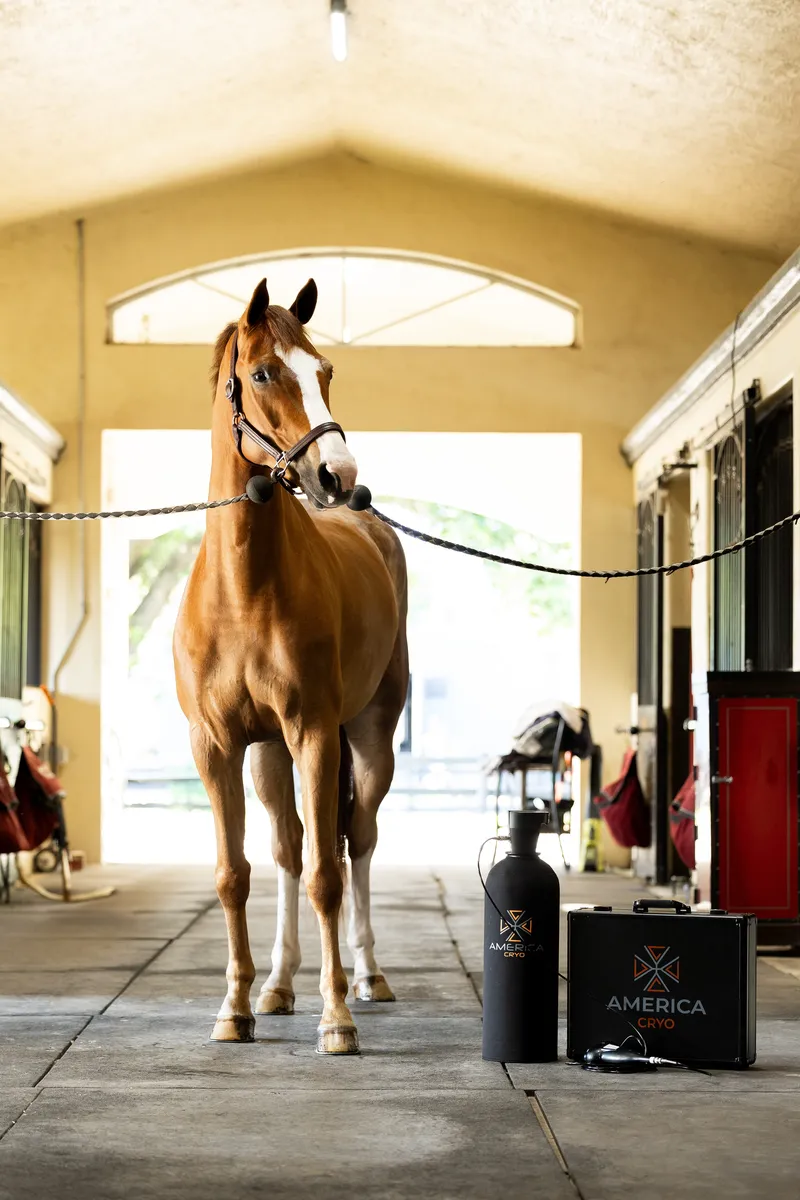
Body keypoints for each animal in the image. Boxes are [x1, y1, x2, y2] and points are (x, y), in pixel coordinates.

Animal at [173, 276, 408, 1055]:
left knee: (356, 841)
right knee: (286, 849)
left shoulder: (313, 733)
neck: (245, 590)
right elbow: (234, 874)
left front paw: (336, 1020)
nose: (337, 473)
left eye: (325, 370)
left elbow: (327, 877)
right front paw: (236, 1006)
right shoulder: (218, 747)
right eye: (264, 374)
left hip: (365, 742)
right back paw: (277, 985)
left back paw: (367, 977)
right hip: (269, 756)